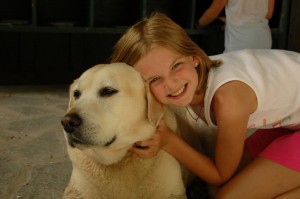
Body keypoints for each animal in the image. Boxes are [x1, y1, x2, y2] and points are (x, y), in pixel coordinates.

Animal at [59, 62, 212, 199]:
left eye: (108, 91)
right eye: (76, 94)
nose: (67, 122)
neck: (119, 159)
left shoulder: (172, 193)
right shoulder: (74, 191)